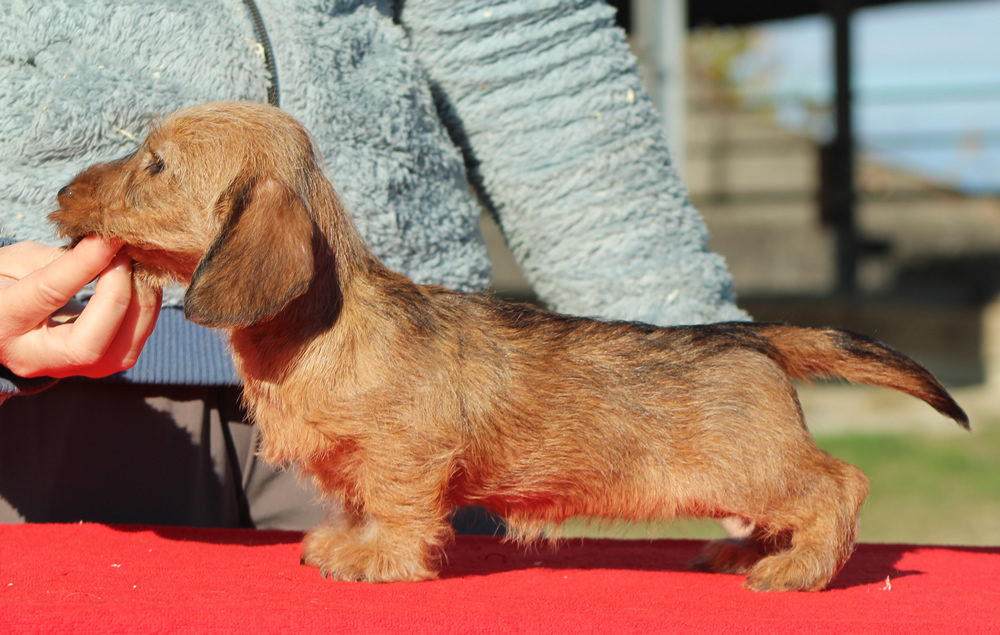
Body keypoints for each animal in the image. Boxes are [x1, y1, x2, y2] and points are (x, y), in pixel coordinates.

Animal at [48, 99, 968, 592]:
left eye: (154, 165)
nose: (60, 191)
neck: (326, 325)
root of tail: (752, 334)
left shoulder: (406, 455)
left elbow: (397, 506)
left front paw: (381, 560)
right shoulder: (359, 462)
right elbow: (357, 501)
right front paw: (346, 542)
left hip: (758, 464)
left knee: (838, 484)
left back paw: (798, 566)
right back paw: (748, 546)